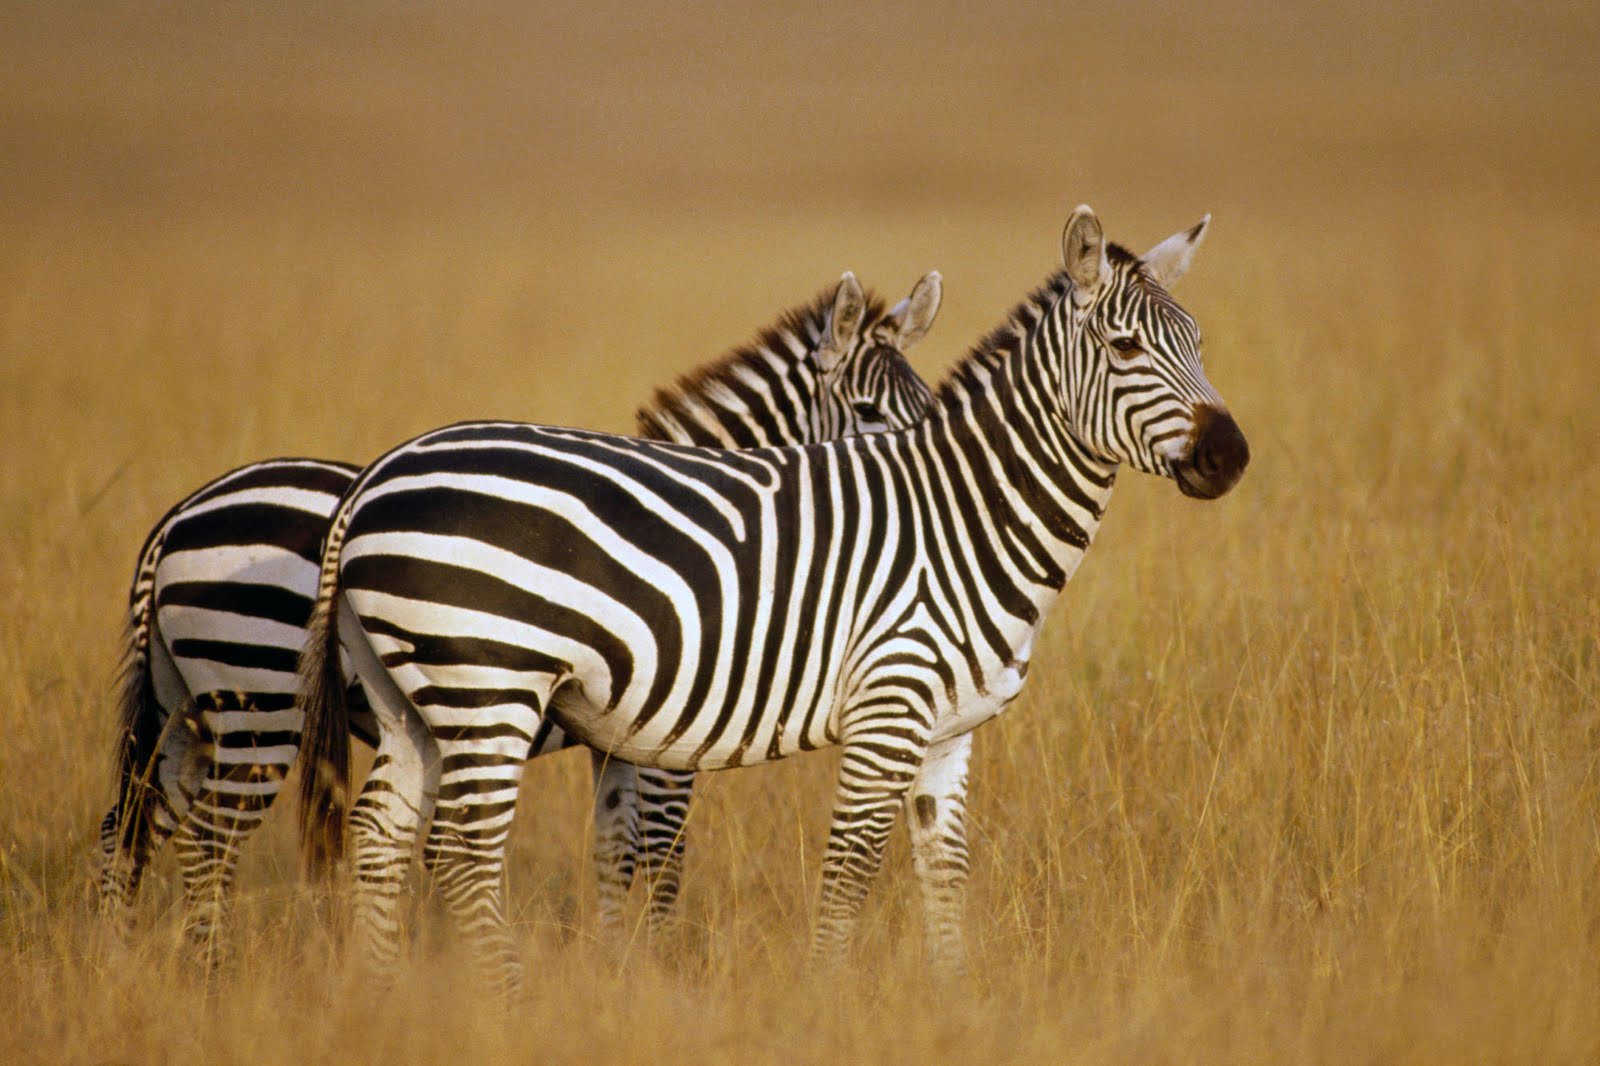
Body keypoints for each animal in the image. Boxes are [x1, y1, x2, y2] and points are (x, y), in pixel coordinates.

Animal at [97, 270, 942, 958]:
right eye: (870, 412)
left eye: (930, 407)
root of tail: (175, 522)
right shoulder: (669, 740)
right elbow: (661, 856)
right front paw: (657, 967)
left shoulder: (619, 742)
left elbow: (613, 852)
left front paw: (616, 966)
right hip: (260, 699)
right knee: (206, 842)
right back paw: (209, 973)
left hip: (188, 710)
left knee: (129, 830)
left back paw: (125, 966)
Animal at [296, 206, 1250, 988]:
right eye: (1125, 350)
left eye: (1200, 343)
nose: (1231, 456)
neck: (963, 518)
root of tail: (377, 475)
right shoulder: (875, 713)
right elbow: (840, 872)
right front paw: (818, 1002)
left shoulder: (948, 734)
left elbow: (944, 881)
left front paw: (952, 1005)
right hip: (486, 685)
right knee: (463, 854)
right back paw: (506, 999)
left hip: (411, 697)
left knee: (380, 836)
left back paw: (386, 994)